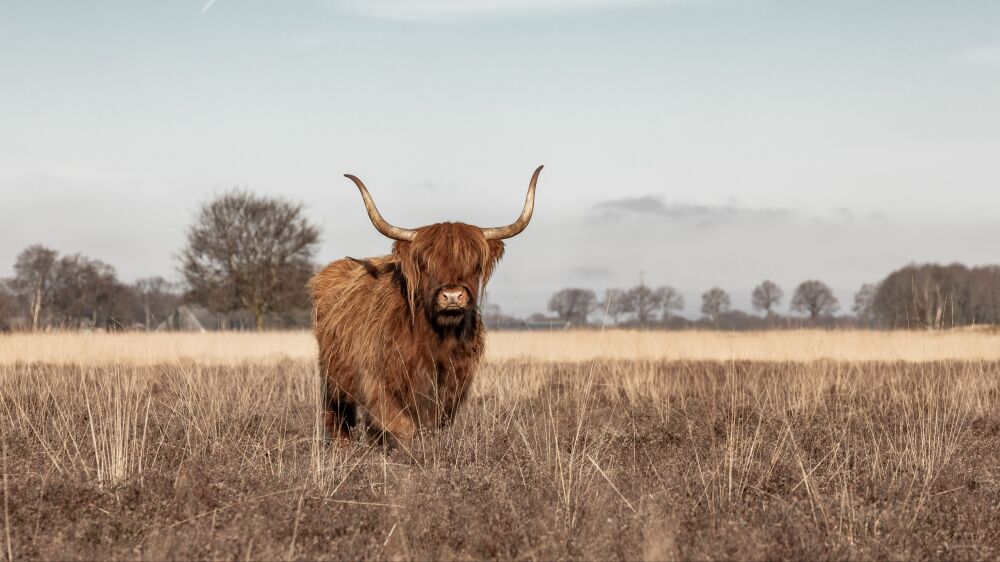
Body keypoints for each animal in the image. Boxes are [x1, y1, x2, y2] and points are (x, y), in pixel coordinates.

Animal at [312, 164, 544, 444]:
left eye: (475, 265)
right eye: (424, 264)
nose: (452, 296)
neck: (439, 338)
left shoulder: (454, 383)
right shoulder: (381, 380)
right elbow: (400, 424)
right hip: (332, 376)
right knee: (337, 413)